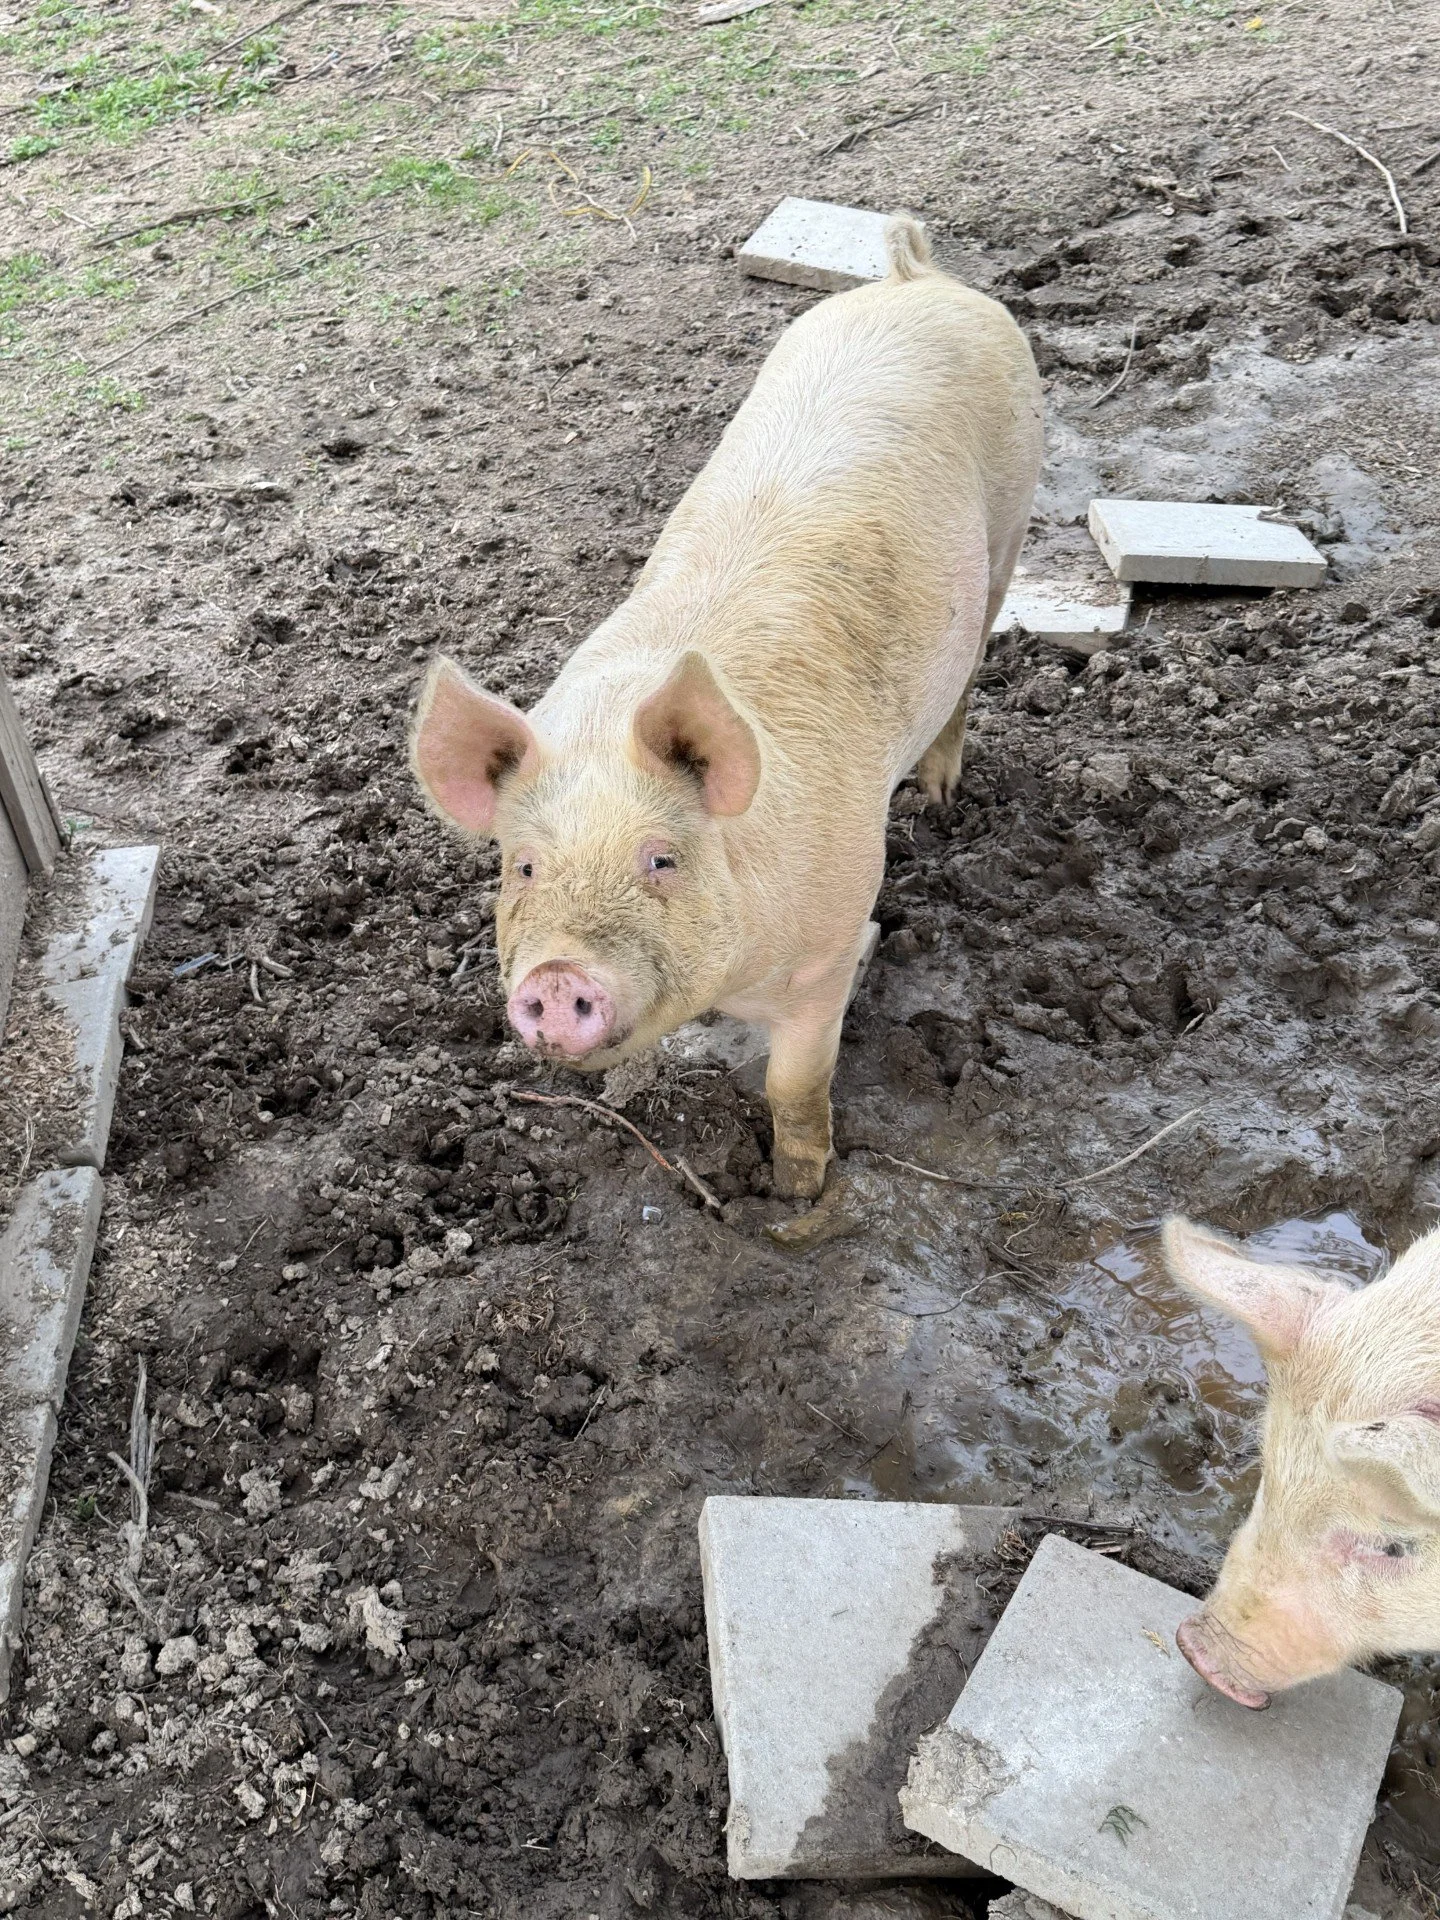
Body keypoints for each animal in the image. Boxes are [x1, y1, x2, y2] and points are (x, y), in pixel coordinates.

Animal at [410, 218, 1042, 1198]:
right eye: (523, 867)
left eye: (661, 859)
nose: (555, 977)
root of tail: (916, 277)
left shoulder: (829, 943)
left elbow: (795, 1081)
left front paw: (797, 1192)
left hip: (1013, 516)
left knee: (973, 667)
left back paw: (940, 800)